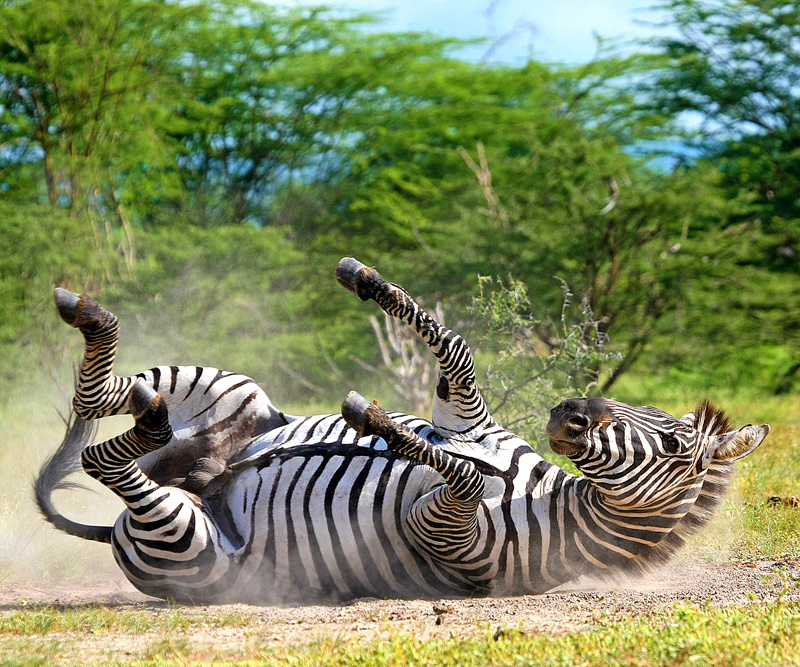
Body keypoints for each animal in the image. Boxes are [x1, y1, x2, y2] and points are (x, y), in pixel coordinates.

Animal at [36, 258, 768, 604]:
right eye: (627, 402)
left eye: (675, 446)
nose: (569, 411)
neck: (549, 498)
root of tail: (199, 479)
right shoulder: (464, 414)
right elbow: (456, 350)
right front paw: (363, 277)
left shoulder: (443, 532)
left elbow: (464, 473)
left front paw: (378, 419)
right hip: (233, 394)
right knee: (104, 398)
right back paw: (98, 328)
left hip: (190, 545)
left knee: (107, 460)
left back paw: (137, 400)